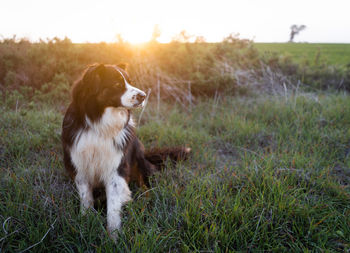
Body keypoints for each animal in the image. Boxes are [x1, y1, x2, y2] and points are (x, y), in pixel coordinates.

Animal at [61, 63, 190, 239]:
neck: (100, 124)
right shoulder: (80, 165)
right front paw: (85, 223)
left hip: (138, 156)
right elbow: (86, 198)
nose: (143, 96)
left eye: (130, 81)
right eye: (116, 84)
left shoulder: (116, 167)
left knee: (145, 184)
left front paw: (113, 235)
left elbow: (113, 205)